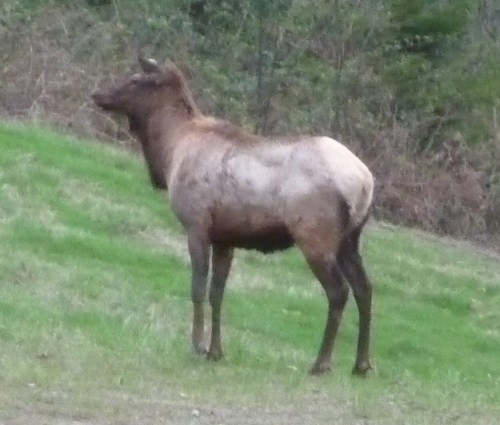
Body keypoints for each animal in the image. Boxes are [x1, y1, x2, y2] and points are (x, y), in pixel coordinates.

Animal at [93, 53, 376, 374]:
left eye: (135, 80)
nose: (98, 94)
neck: (171, 151)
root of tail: (366, 182)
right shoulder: (225, 238)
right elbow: (217, 292)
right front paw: (216, 351)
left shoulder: (196, 224)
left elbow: (197, 287)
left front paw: (197, 345)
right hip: (349, 239)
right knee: (365, 288)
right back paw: (361, 364)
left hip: (315, 235)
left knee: (339, 291)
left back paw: (322, 363)